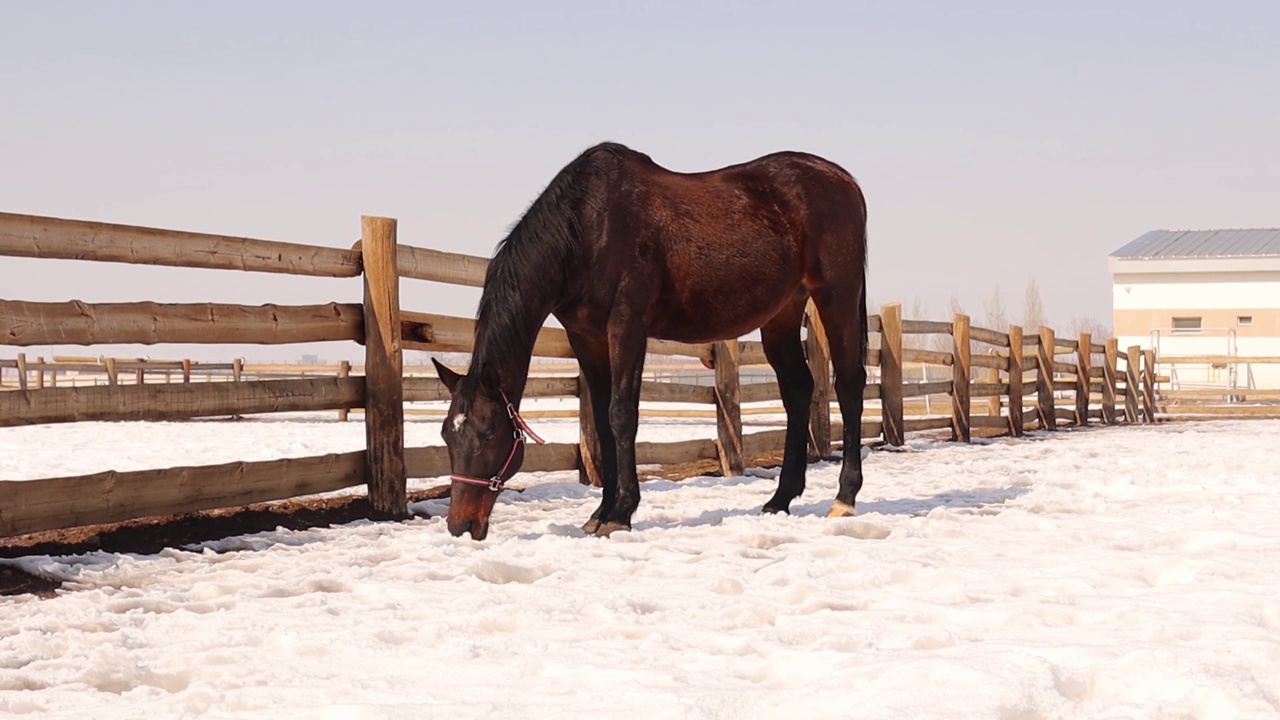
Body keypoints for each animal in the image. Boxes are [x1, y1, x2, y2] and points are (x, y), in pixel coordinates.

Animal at [432, 141, 870, 538]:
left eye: (489, 434)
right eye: (447, 435)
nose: (460, 525)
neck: (588, 226)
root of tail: (844, 179)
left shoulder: (627, 326)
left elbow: (621, 414)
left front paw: (620, 513)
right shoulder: (586, 337)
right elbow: (603, 423)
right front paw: (600, 512)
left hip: (836, 296)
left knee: (849, 385)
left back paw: (844, 498)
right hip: (782, 314)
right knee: (798, 390)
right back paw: (780, 499)